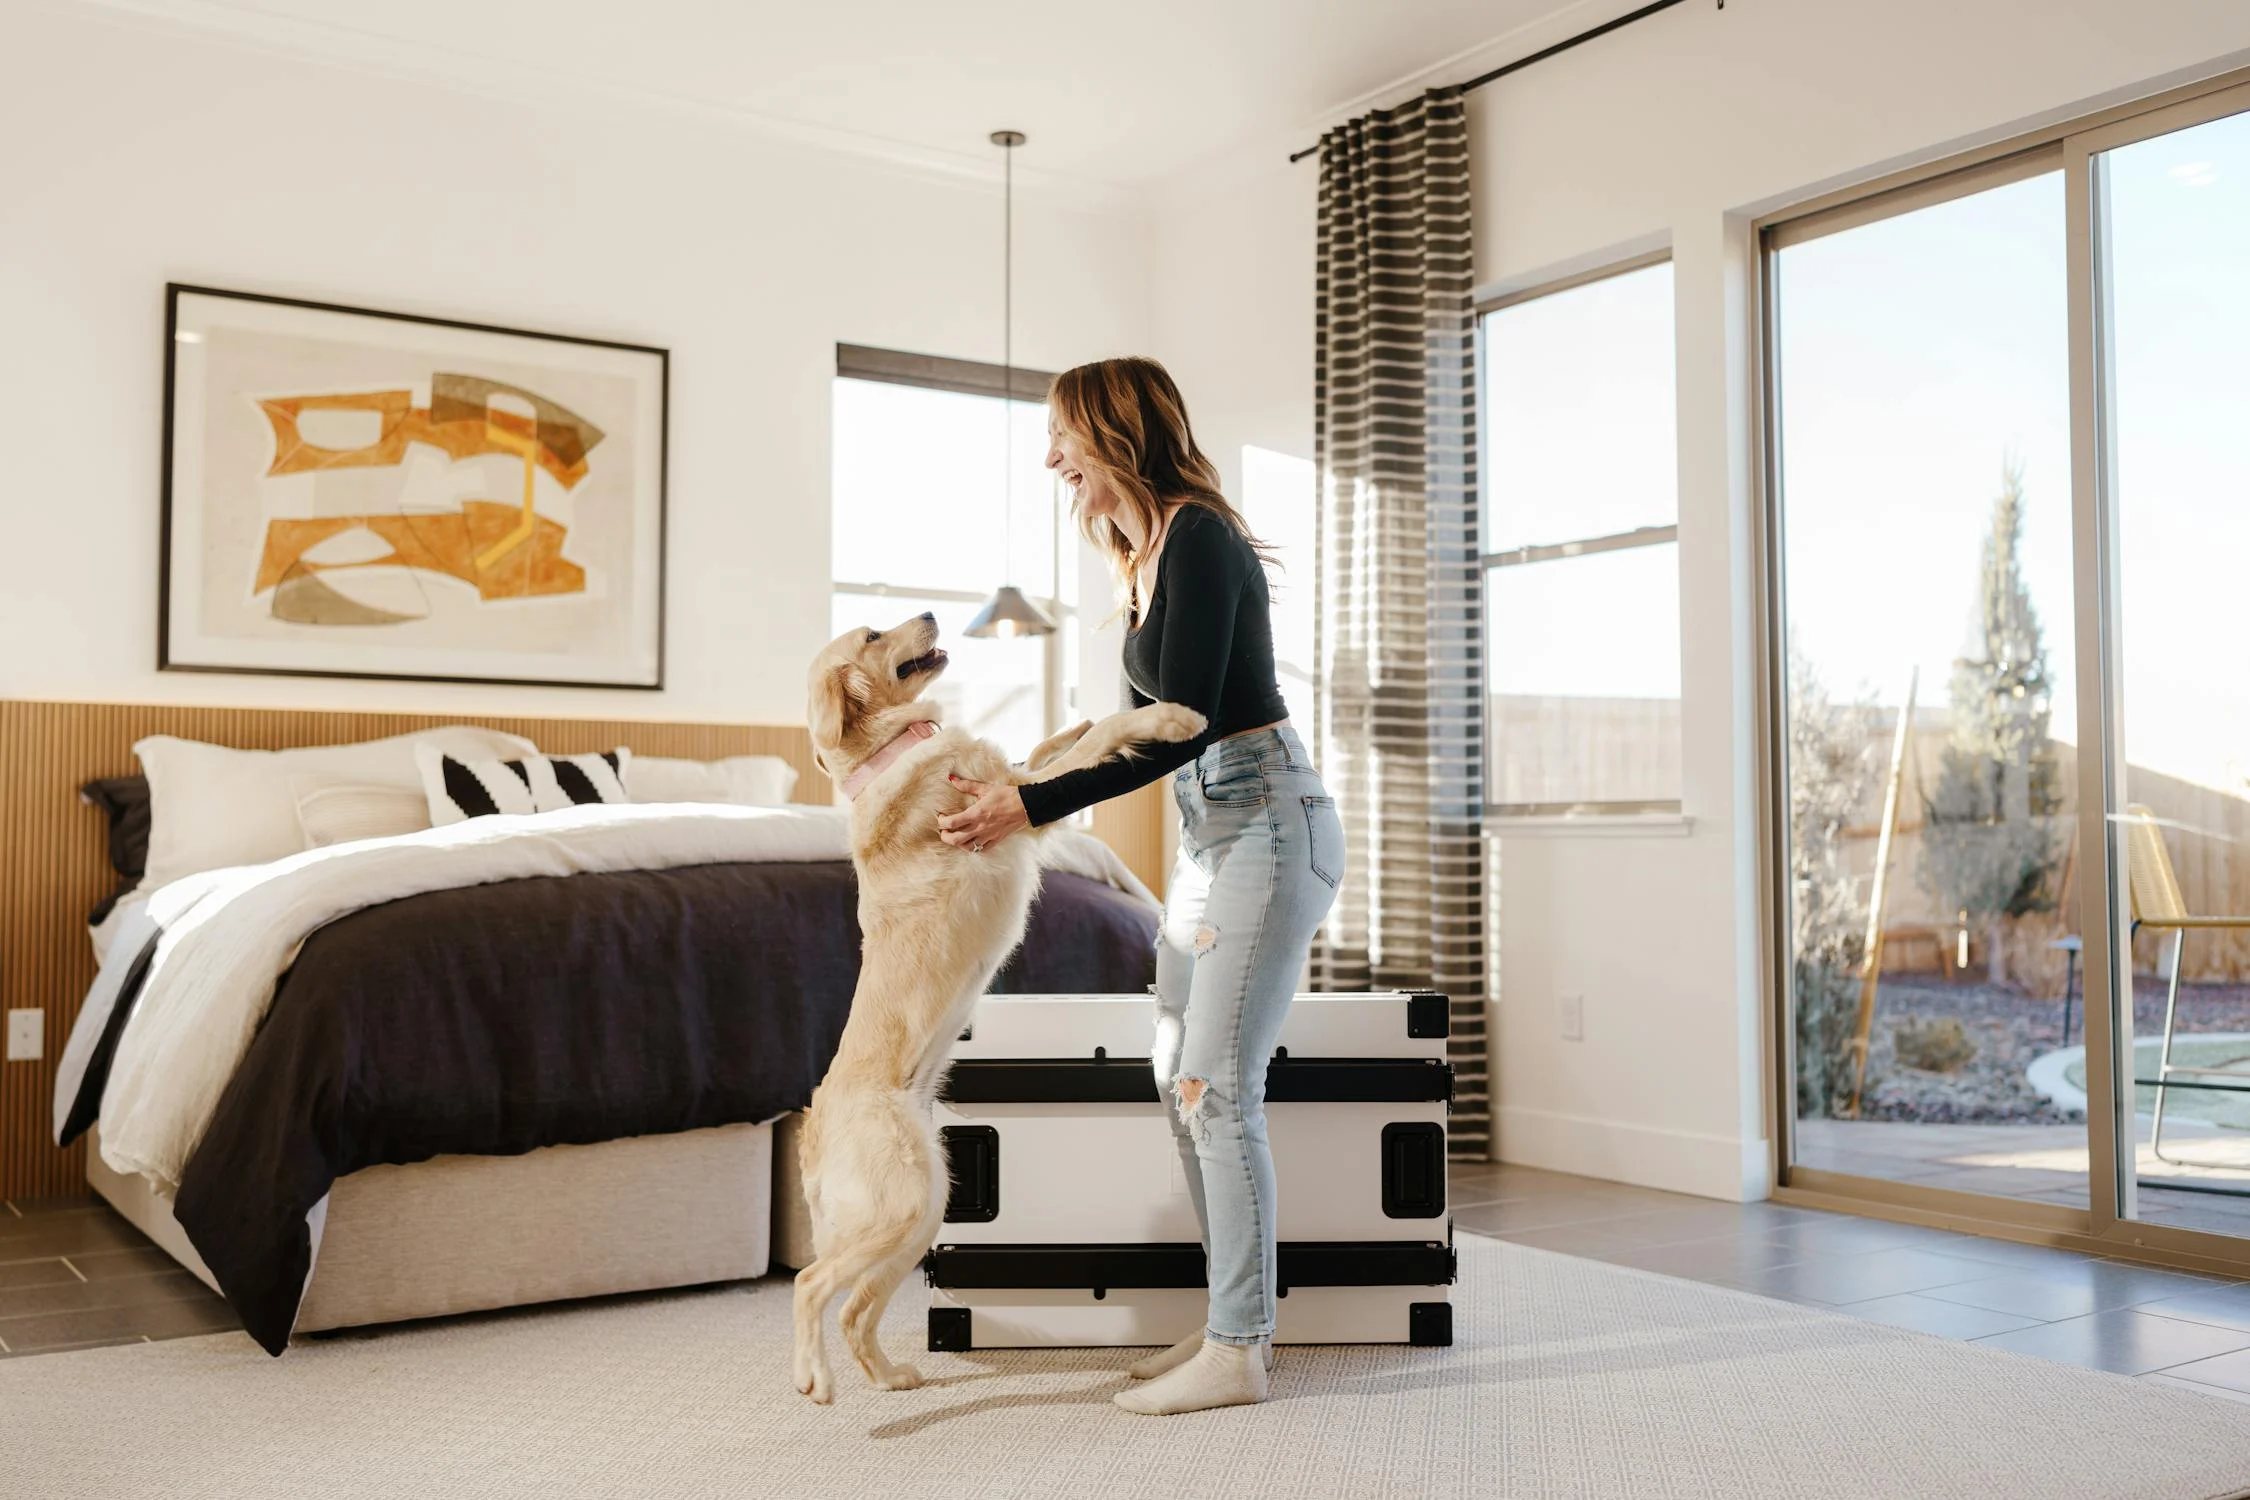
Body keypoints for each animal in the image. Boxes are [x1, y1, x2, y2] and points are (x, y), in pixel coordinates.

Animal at [796, 602, 1206, 1403]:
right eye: (871, 635)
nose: (929, 611)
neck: (892, 751)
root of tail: (813, 1134)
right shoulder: (1012, 804)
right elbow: (1091, 750)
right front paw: (1172, 717)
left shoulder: (1015, 787)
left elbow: (1059, 744)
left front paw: (1091, 713)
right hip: (898, 1208)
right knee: (809, 1285)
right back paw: (814, 1378)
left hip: (922, 1211)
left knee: (855, 1311)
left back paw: (891, 1379)